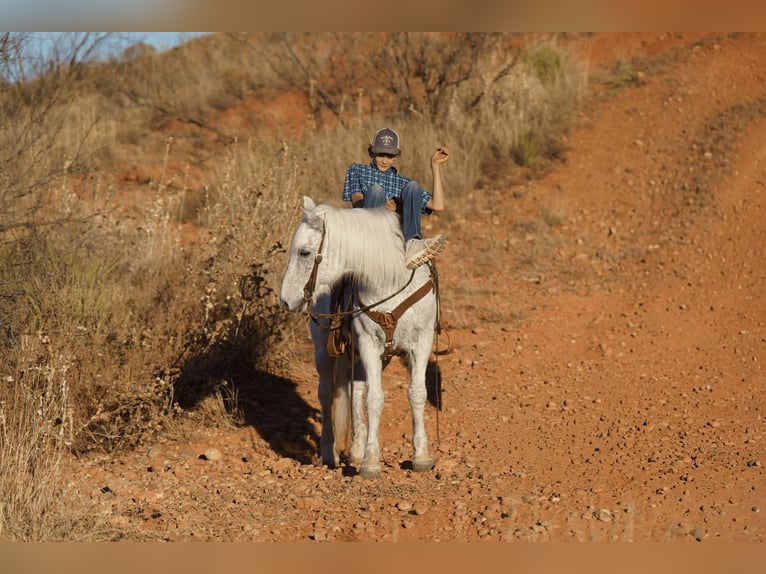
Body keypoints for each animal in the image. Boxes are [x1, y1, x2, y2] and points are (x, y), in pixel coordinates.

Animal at [280, 196, 438, 479]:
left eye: (304, 252)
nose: (285, 299)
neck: (390, 281)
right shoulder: (368, 343)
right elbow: (375, 400)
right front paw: (371, 463)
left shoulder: (422, 342)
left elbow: (417, 393)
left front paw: (421, 456)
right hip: (324, 349)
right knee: (327, 393)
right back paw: (330, 453)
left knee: (356, 389)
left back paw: (355, 450)